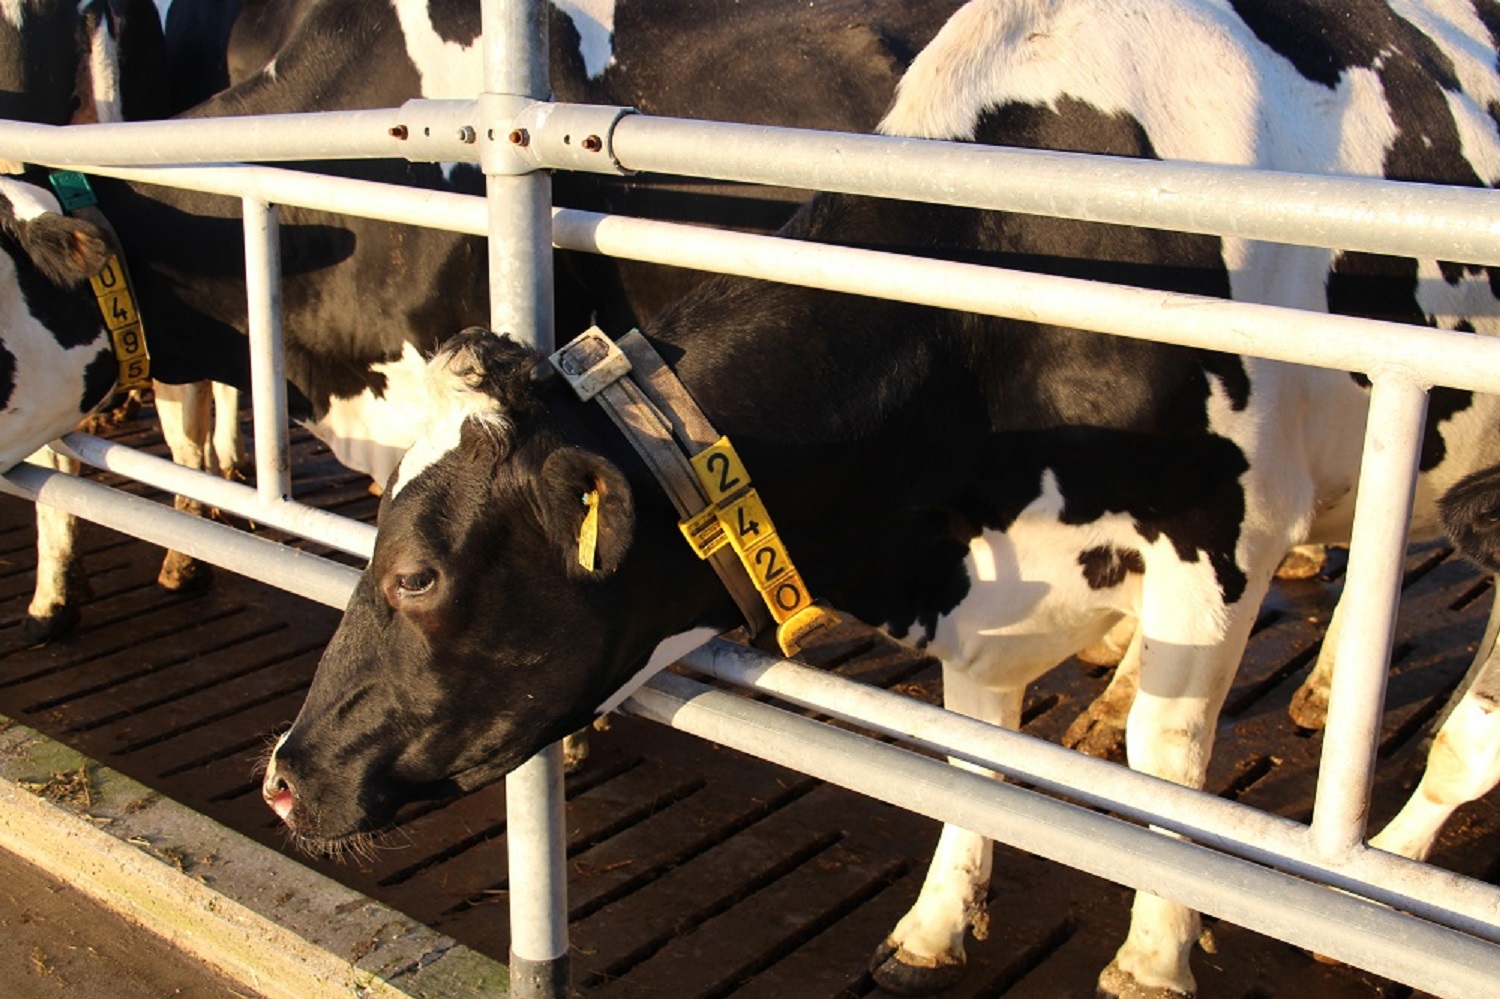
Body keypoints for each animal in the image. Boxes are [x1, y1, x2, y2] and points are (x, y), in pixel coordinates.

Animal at [257, 1, 1500, 995]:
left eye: (417, 575)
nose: (280, 779)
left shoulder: (1224, 539)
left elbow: (1172, 762)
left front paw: (1154, 956)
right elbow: (976, 751)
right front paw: (939, 920)